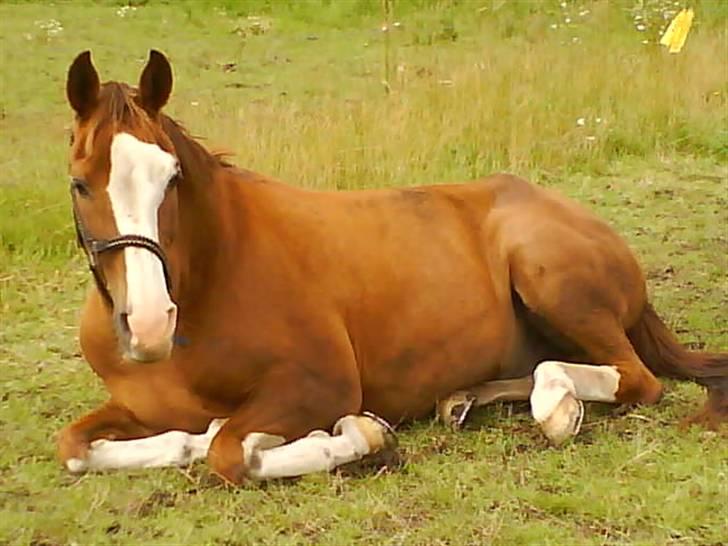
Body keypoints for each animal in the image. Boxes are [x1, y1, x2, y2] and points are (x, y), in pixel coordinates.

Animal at [58, 51, 728, 482]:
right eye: (80, 183)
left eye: (170, 177)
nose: (148, 326)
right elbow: (78, 446)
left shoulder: (320, 385)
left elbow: (229, 453)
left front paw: (361, 437)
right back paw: (466, 398)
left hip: (552, 281)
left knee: (633, 377)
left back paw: (558, 407)